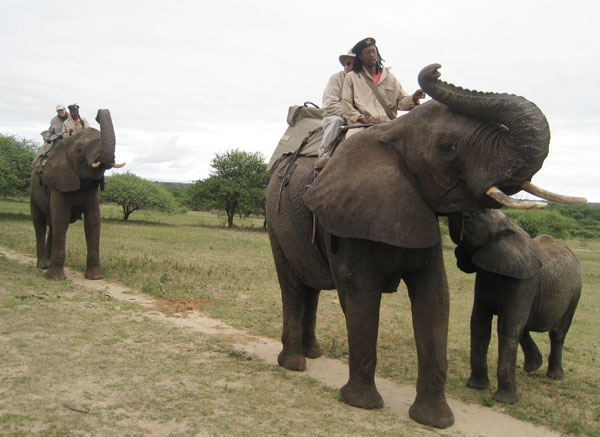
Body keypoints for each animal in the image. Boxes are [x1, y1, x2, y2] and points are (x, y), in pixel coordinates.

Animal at [31, 108, 125, 280]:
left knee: (52, 224)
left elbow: (93, 221)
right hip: (33, 191)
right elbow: (61, 218)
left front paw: (96, 278)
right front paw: (56, 278)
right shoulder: (59, 180)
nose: (99, 112)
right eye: (80, 150)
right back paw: (43, 266)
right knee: (39, 223)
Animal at [450, 209, 580, 404]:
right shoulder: (484, 276)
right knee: (524, 326)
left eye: (468, 217)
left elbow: (507, 327)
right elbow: (480, 324)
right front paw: (476, 387)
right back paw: (533, 366)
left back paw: (555, 376)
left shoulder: (525, 283)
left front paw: (504, 400)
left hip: (574, 294)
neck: (506, 228)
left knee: (557, 334)